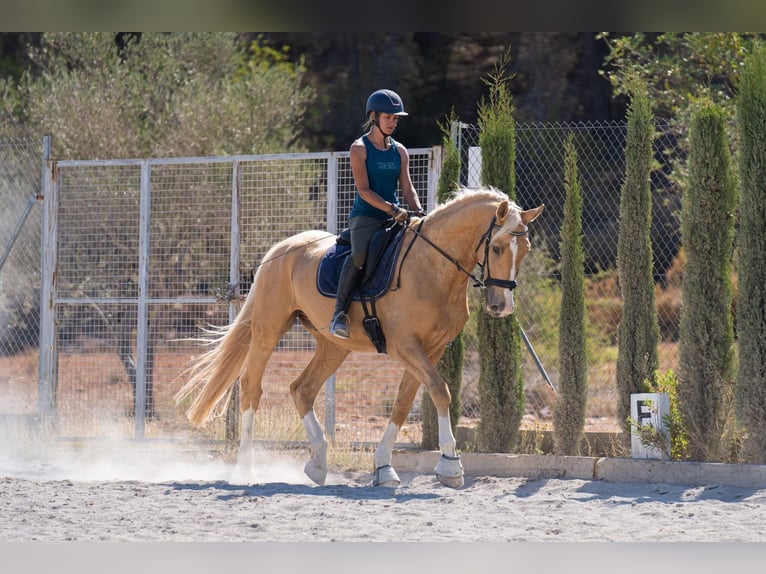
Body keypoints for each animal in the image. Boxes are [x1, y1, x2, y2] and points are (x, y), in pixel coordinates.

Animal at [176, 189, 544, 490]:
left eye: (525, 250)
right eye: (496, 247)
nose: (502, 306)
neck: (434, 267)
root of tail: (279, 250)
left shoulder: (432, 349)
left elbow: (403, 403)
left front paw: (384, 468)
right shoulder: (405, 346)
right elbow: (441, 390)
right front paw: (451, 466)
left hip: (333, 346)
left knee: (302, 389)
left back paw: (318, 463)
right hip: (269, 329)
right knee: (252, 385)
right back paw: (246, 468)